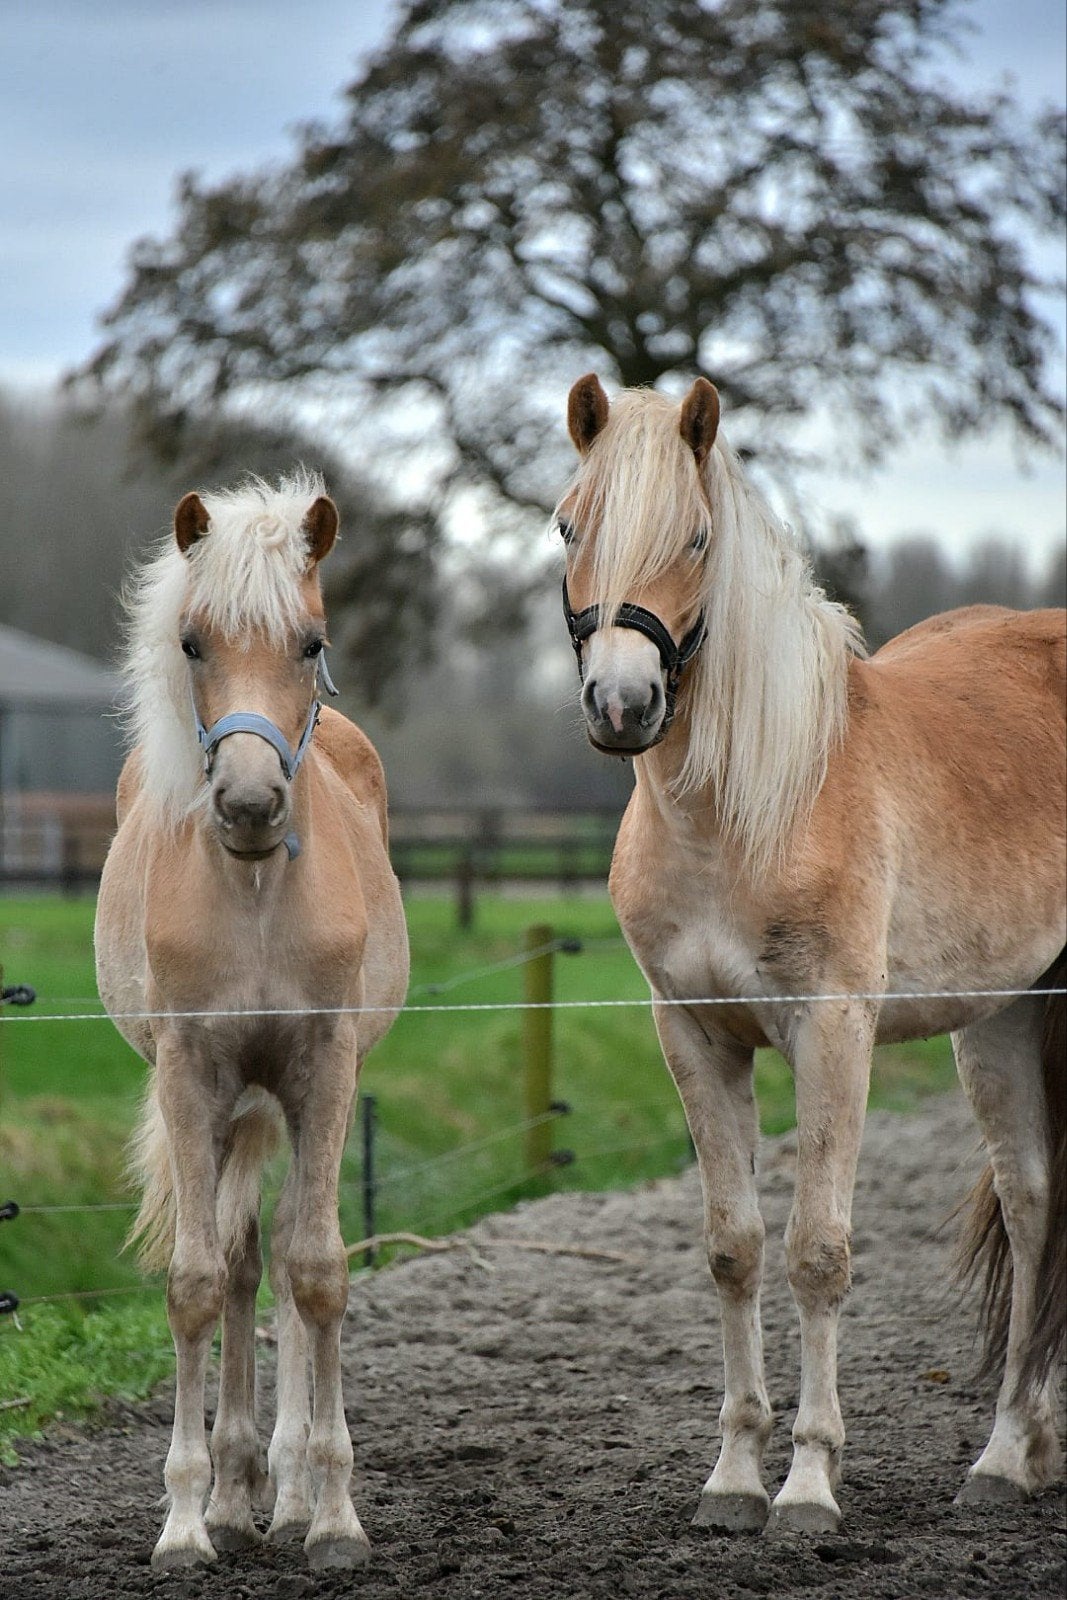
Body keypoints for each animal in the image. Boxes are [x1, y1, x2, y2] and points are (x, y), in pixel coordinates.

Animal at [95, 472, 409, 1570]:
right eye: (191, 642)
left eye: (310, 644)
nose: (245, 801)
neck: (258, 890)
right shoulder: (194, 1076)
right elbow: (198, 1280)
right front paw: (188, 1521)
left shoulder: (322, 1069)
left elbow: (317, 1272)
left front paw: (335, 1513)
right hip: (233, 1107)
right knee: (237, 1263)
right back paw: (237, 1490)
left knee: (283, 1258)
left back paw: (288, 1485)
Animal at [556, 374, 1066, 1534]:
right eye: (569, 526)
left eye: (696, 537)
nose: (621, 704)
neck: (741, 811)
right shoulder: (695, 1037)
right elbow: (734, 1247)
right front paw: (734, 1476)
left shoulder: (833, 1030)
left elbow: (817, 1252)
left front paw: (807, 1485)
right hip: (1001, 1017)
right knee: (1030, 1202)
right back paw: (1005, 1455)